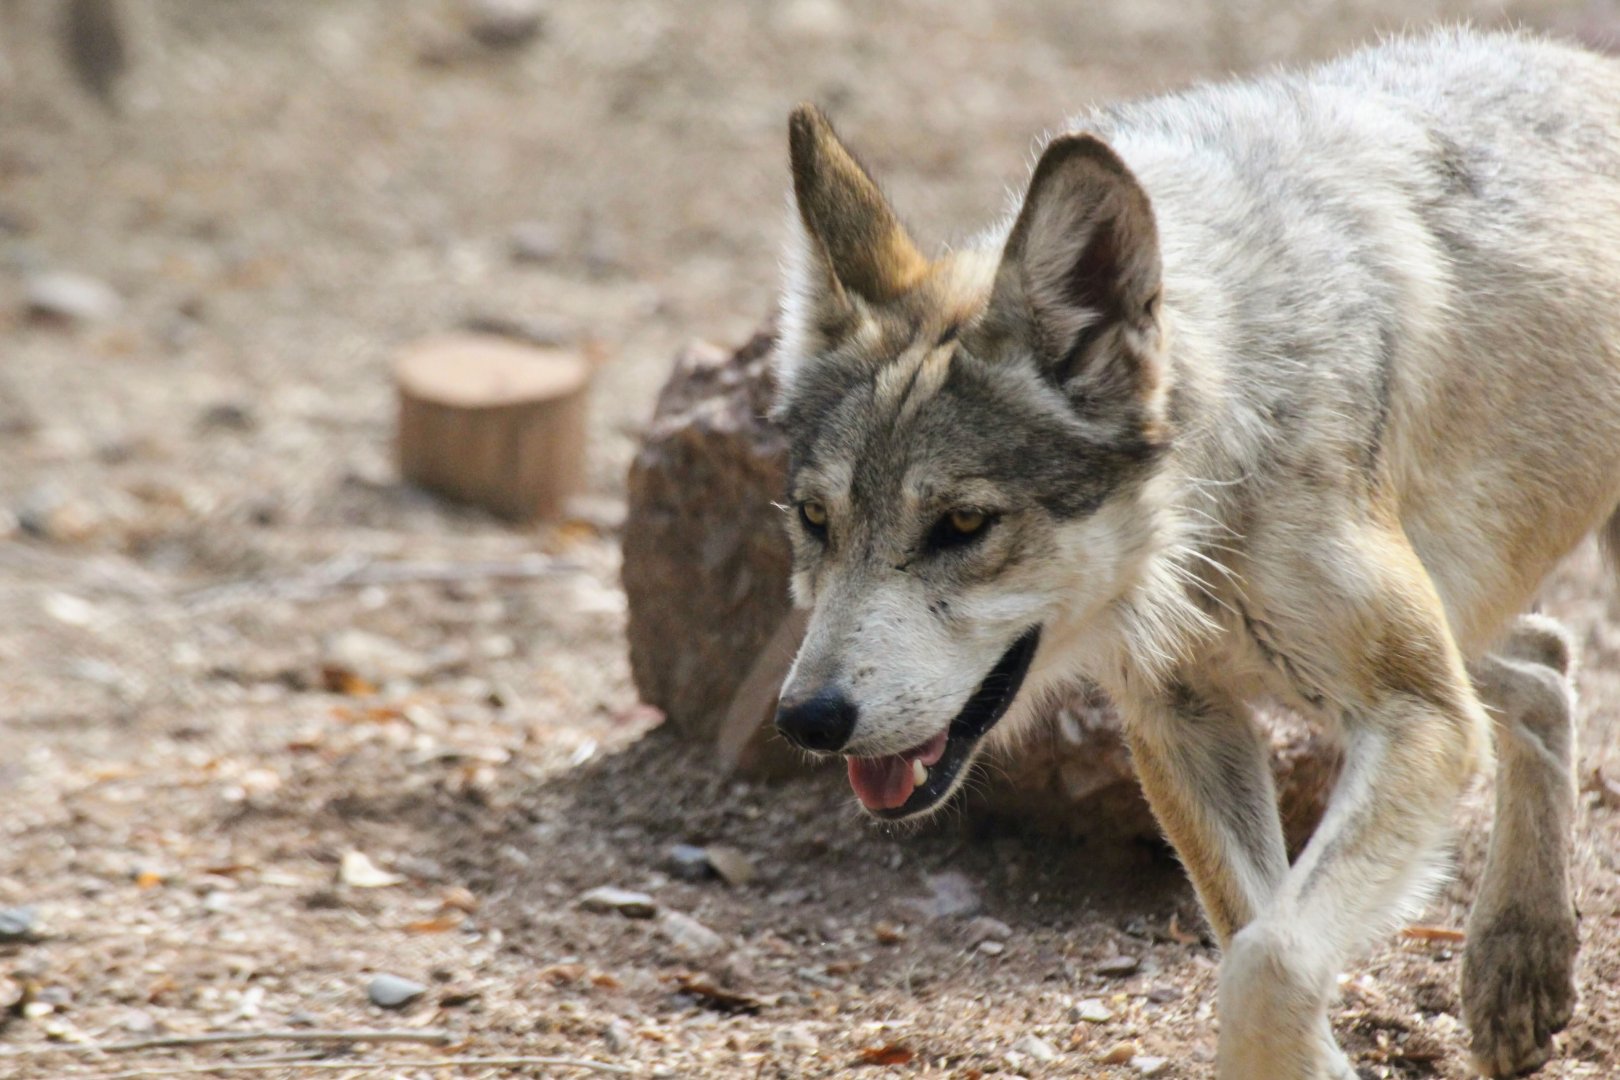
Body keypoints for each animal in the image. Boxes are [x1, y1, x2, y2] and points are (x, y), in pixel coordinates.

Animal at [767, 28, 1616, 1080]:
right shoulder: (1181, 718)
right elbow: (1251, 935)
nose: (807, 720)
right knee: (1544, 664)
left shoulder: (1420, 715)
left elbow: (1268, 965)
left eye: (962, 526)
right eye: (815, 519)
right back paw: (1519, 966)